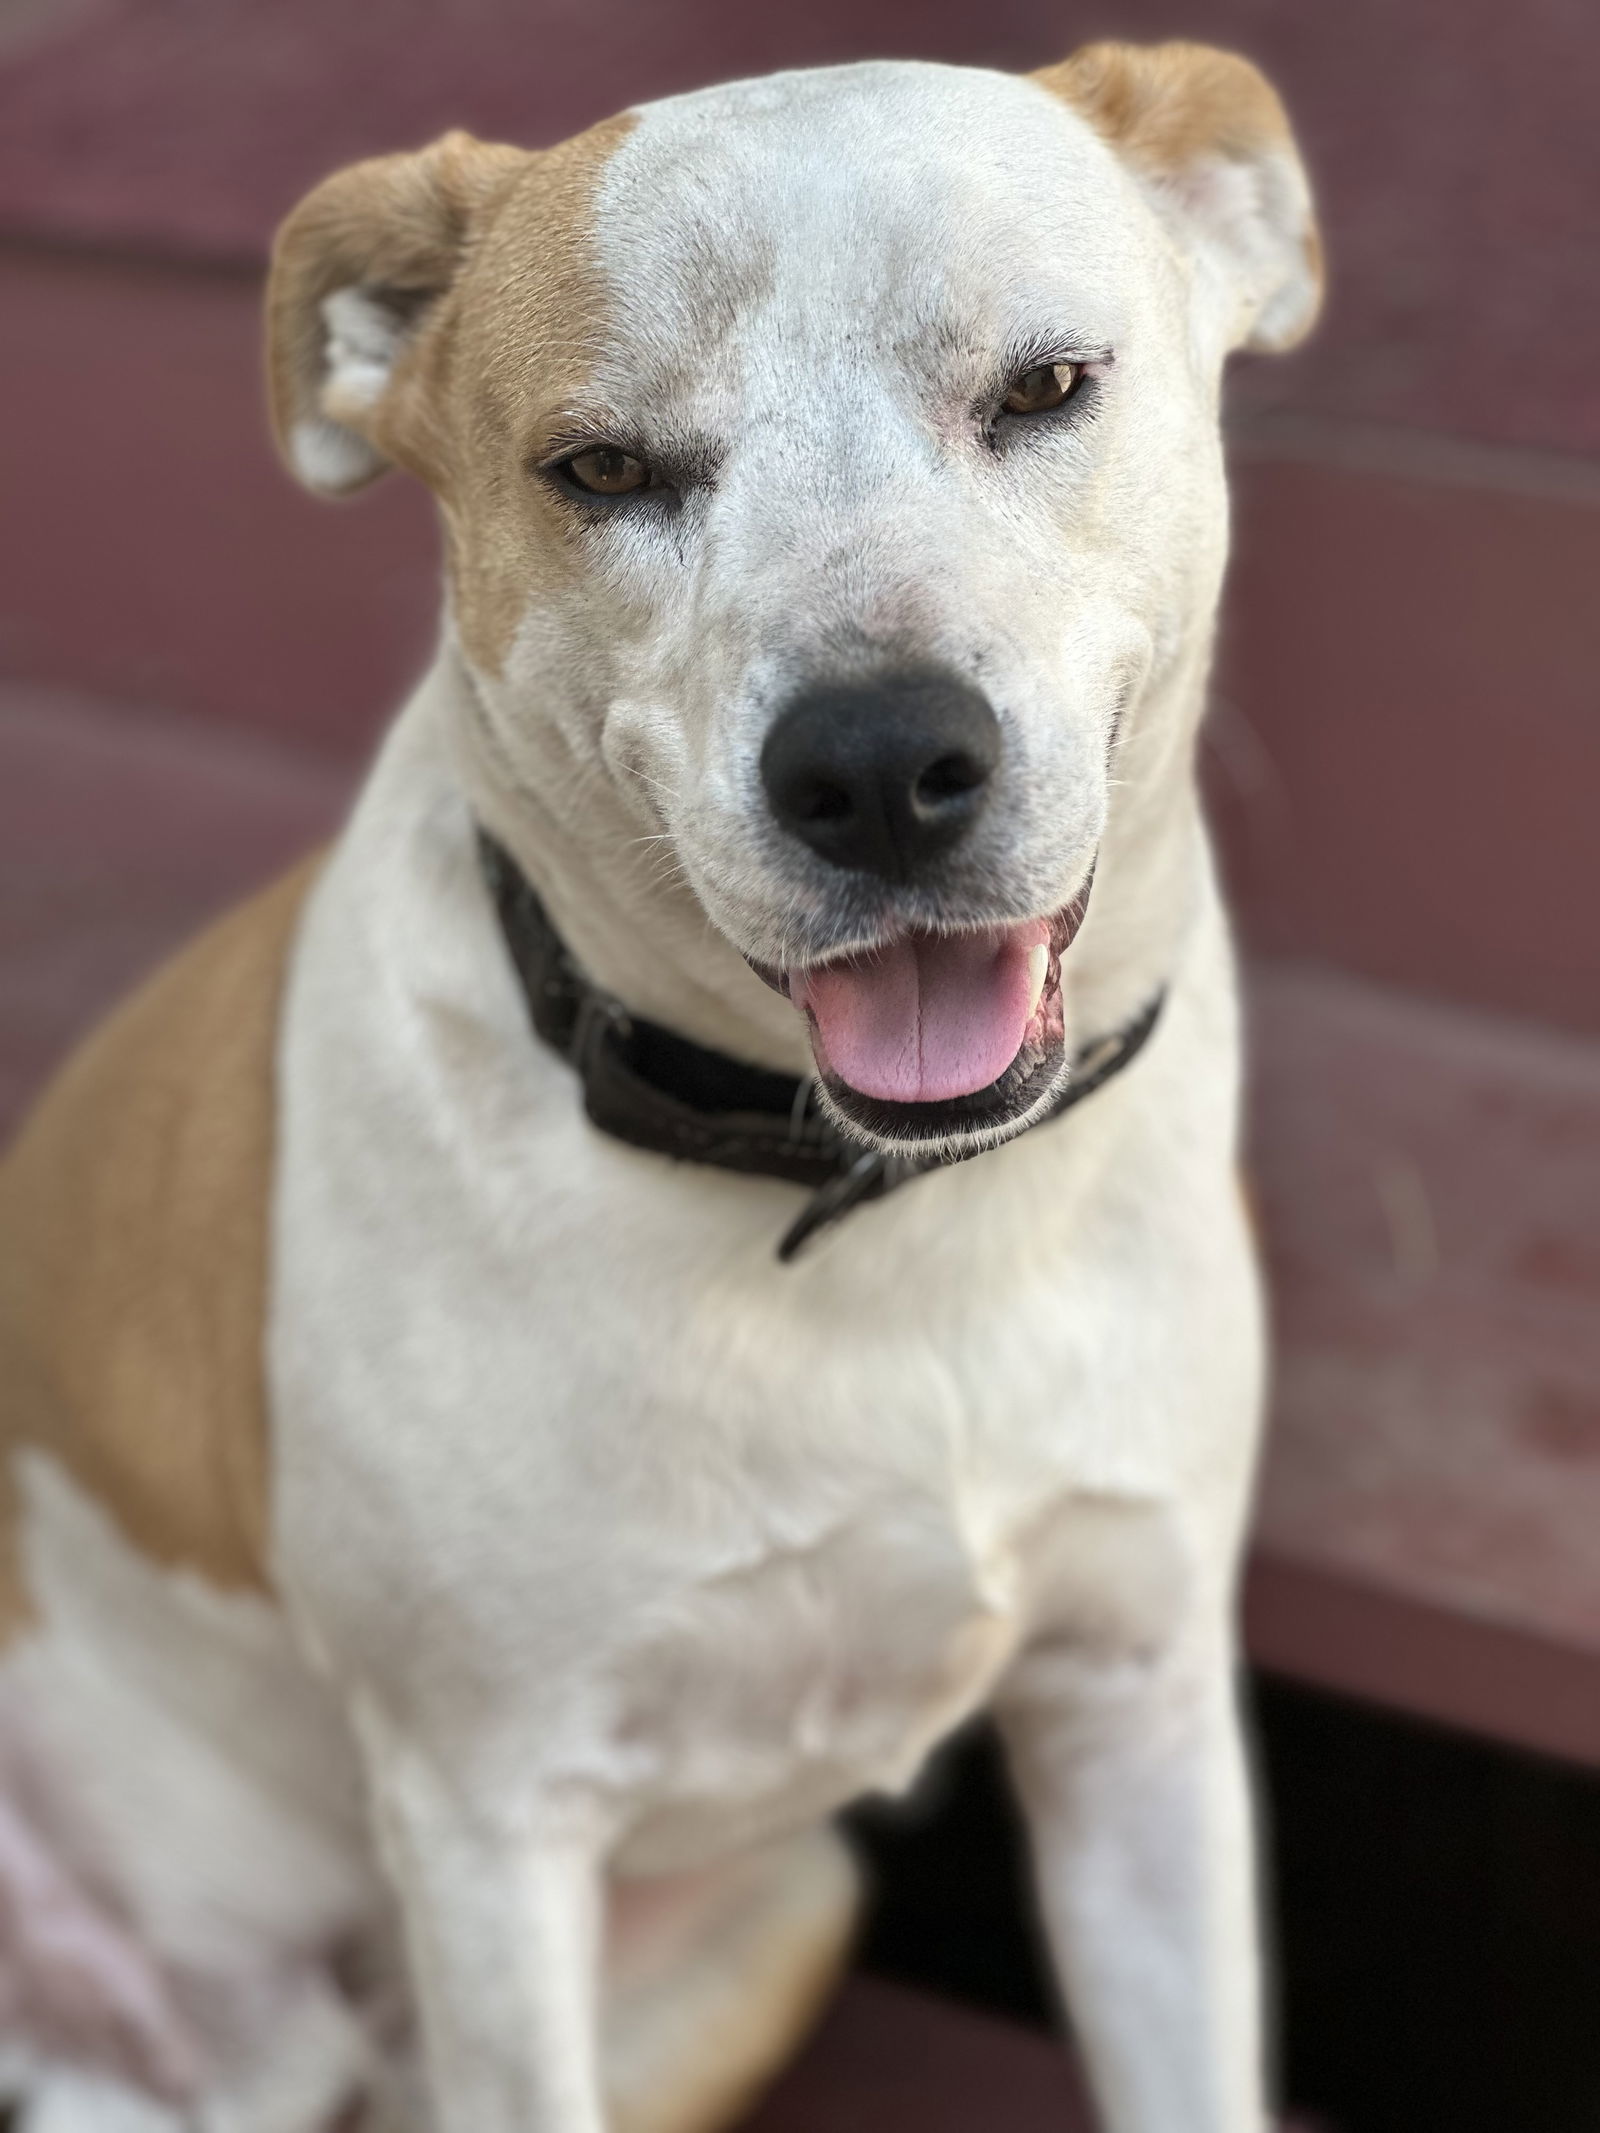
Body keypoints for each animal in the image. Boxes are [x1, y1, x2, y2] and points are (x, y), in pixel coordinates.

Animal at [0, 41, 1322, 2133]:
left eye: (1043, 386)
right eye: (602, 471)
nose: (878, 763)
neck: (863, 1210)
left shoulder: (1142, 1708)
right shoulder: (489, 1820)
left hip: (770, 1915)